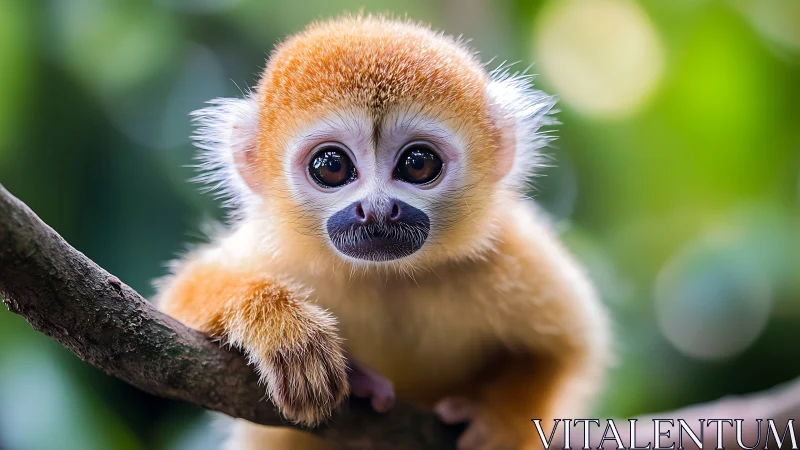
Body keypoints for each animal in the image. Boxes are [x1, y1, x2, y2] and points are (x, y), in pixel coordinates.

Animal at [154, 15, 612, 450]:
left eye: (418, 164)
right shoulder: (280, 254)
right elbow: (181, 301)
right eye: (331, 166)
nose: (376, 209)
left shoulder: (508, 257)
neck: (386, 279)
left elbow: (571, 346)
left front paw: (500, 420)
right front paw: (282, 328)